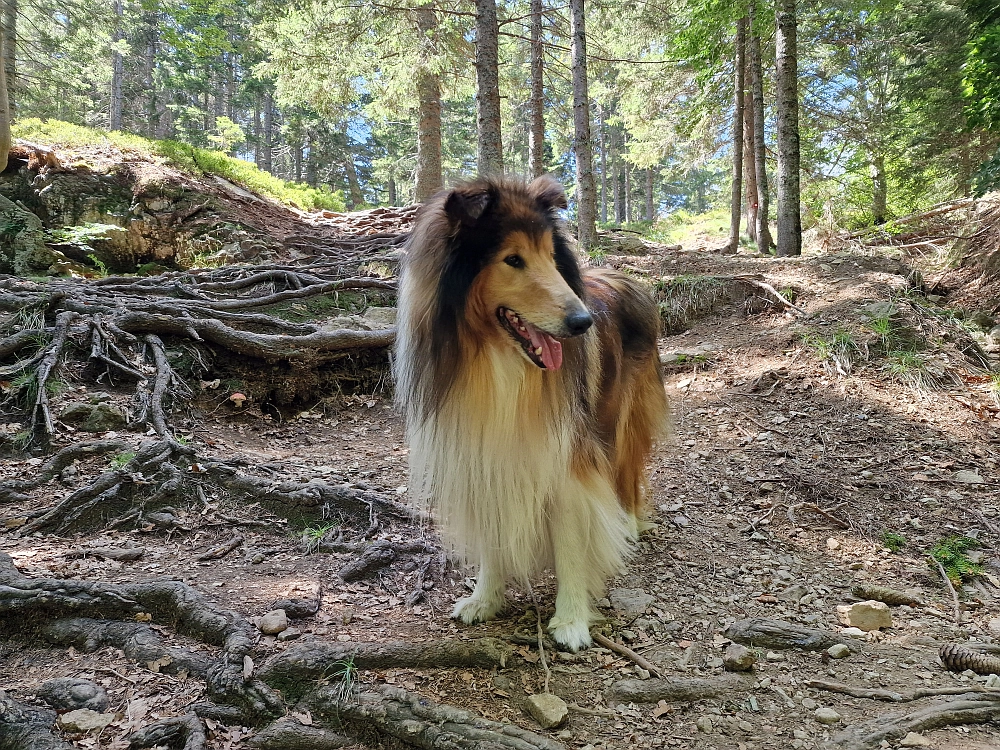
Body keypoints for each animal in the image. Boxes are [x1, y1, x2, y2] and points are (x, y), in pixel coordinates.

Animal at [394, 176, 668, 652]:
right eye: (513, 260)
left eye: (551, 258)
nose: (582, 323)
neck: (498, 362)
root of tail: (625, 277)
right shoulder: (481, 455)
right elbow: (493, 533)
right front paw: (485, 599)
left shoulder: (569, 458)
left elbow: (571, 540)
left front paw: (572, 619)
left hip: (622, 416)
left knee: (628, 470)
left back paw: (631, 523)